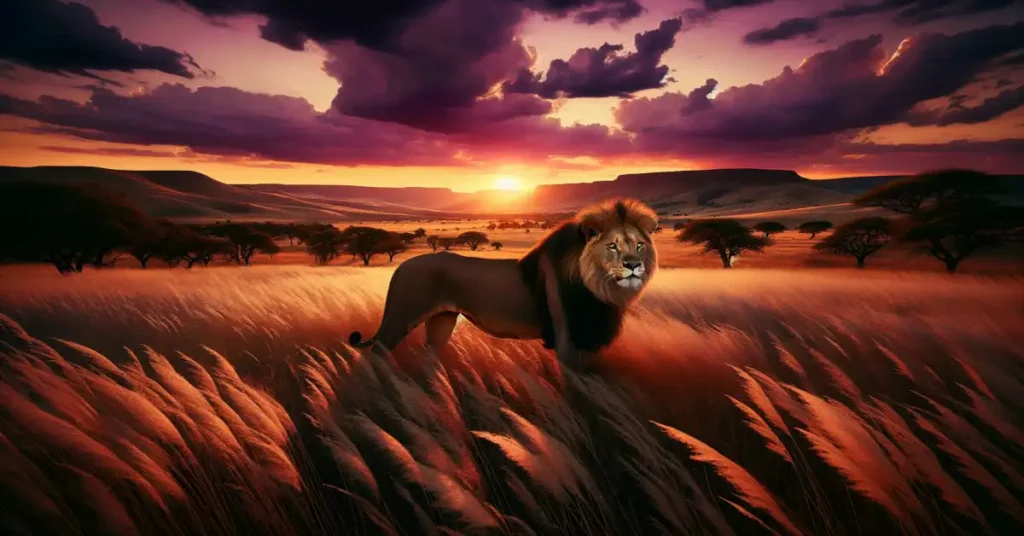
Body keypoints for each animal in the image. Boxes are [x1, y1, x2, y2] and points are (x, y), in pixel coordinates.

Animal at [348, 198, 658, 369]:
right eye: (612, 246)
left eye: (639, 245)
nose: (633, 265)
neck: (601, 290)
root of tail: (402, 266)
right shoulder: (568, 339)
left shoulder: (589, 339)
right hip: (401, 317)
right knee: (375, 354)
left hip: (442, 320)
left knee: (430, 353)